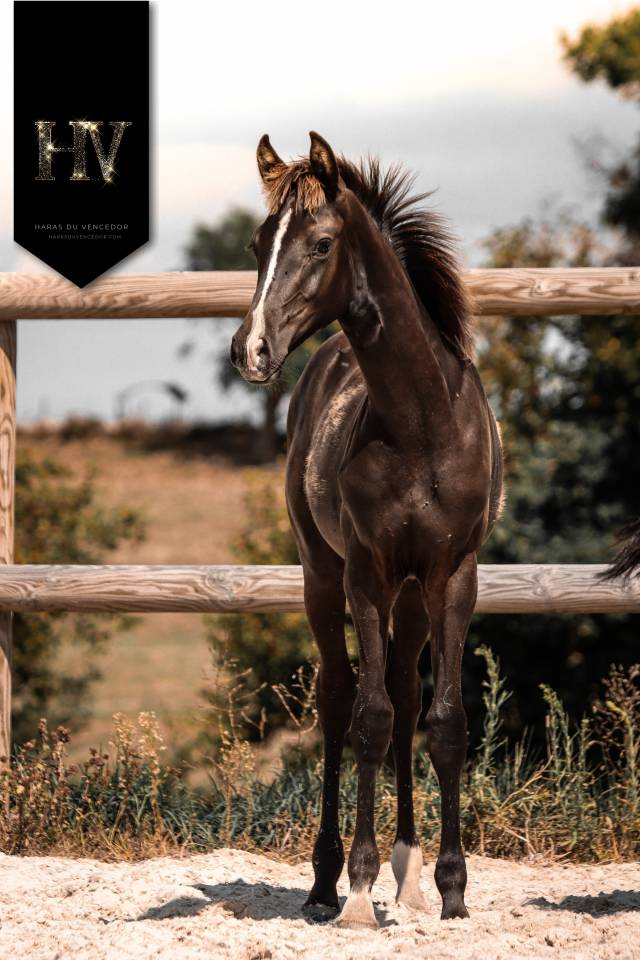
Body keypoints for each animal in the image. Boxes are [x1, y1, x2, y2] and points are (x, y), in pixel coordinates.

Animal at [230, 131, 504, 929]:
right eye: (258, 242)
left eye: (321, 243)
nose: (250, 350)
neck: (419, 421)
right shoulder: (364, 571)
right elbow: (370, 719)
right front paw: (356, 891)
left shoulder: (454, 574)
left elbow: (444, 721)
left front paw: (451, 891)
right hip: (323, 577)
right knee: (337, 701)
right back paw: (325, 883)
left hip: (411, 595)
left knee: (409, 699)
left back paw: (408, 879)